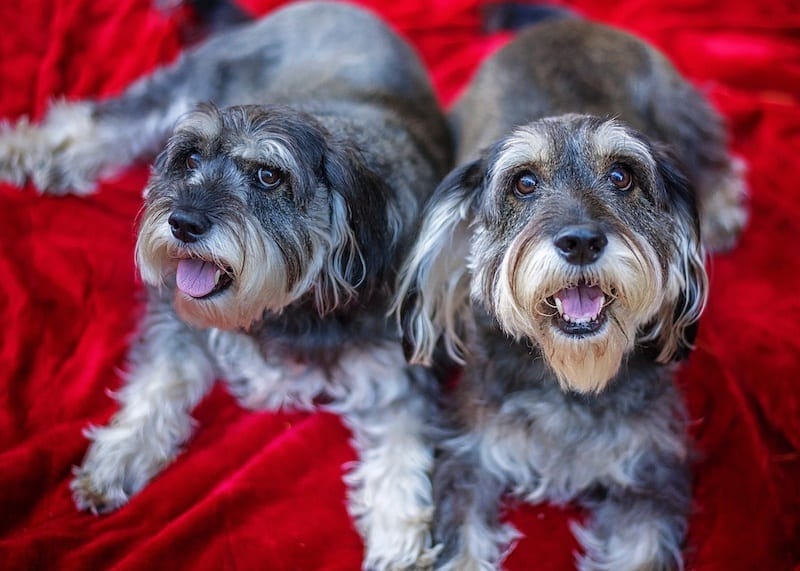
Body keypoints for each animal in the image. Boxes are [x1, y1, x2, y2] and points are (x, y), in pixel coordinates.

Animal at [0, 2, 450, 568]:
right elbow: (160, 382)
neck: (287, 306)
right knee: (93, 121)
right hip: (187, 83)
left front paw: (398, 537)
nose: (183, 223)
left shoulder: (400, 379)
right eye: (190, 159)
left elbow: (402, 455)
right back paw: (23, 150)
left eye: (268, 176)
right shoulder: (177, 316)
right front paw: (121, 453)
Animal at [394, 13, 752, 571]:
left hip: (678, 107)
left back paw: (720, 209)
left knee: (711, 153)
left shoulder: (649, 474)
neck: (569, 382)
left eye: (622, 176)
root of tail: (562, 20)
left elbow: (641, 551)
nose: (581, 241)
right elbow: (464, 541)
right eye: (523, 183)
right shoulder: (471, 457)